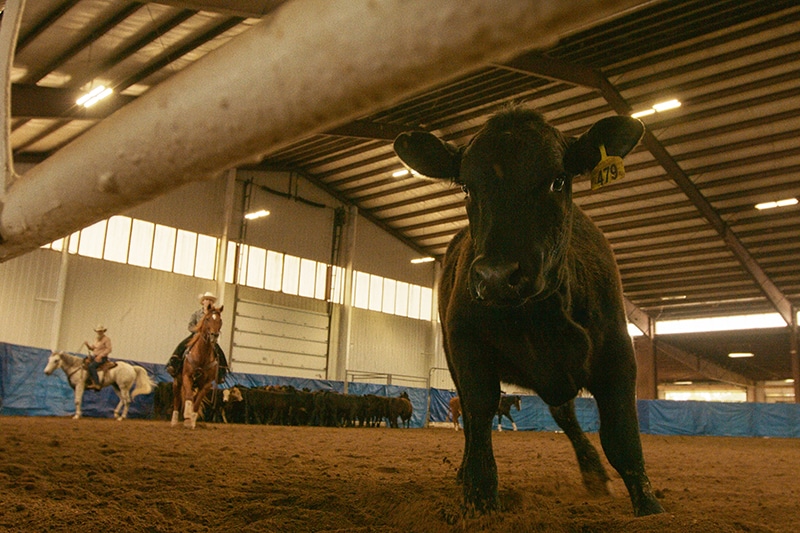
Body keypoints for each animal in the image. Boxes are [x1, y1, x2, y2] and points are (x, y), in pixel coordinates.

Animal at [394, 106, 664, 516]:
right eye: (466, 186)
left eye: (558, 180)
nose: (496, 276)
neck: (540, 318)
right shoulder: (466, 344)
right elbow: (479, 411)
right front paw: (479, 494)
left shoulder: (617, 351)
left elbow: (622, 436)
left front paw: (648, 505)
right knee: (472, 417)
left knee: (564, 415)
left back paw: (593, 472)